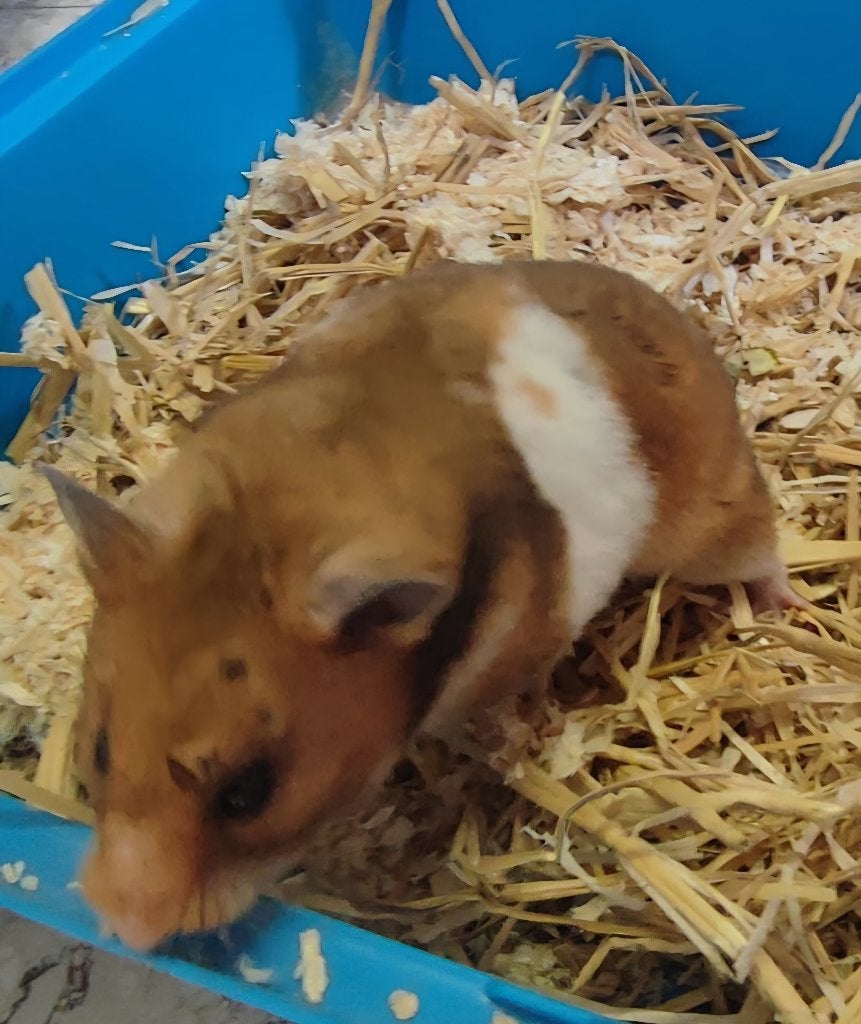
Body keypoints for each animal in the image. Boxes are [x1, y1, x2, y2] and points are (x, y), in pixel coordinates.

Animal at [42, 259, 807, 952]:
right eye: (100, 749)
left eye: (249, 792)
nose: (123, 928)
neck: (261, 523)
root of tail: (676, 320)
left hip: (713, 521)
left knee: (763, 547)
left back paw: (779, 611)